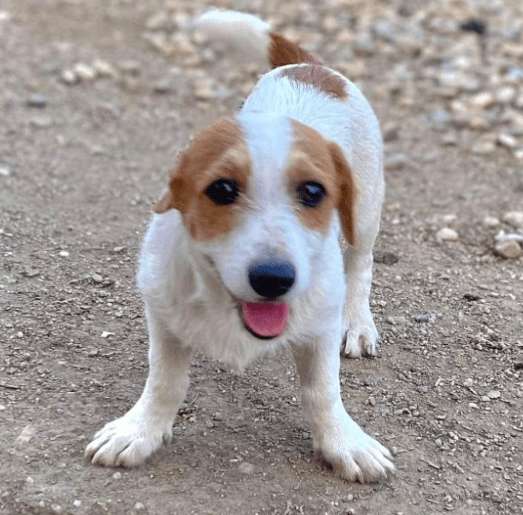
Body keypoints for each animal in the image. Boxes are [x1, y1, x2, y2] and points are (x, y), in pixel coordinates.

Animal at [85, 9, 392, 484]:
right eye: (222, 189)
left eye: (313, 191)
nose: (274, 279)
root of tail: (311, 69)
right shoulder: (163, 318)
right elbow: (164, 382)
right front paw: (141, 430)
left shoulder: (319, 327)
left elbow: (323, 391)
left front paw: (344, 443)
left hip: (366, 210)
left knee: (361, 262)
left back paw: (358, 322)